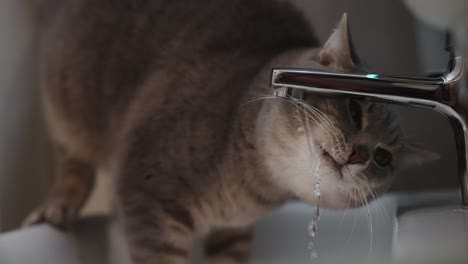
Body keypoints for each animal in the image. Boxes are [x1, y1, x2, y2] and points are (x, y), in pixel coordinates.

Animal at [24, 0, 436, 264]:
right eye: (354, 109)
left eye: (383, 157)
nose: (360, 155)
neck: (249, 187)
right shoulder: (148, 200)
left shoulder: (234, 233)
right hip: (67, 102)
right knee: (74, 164)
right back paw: (56, 209)